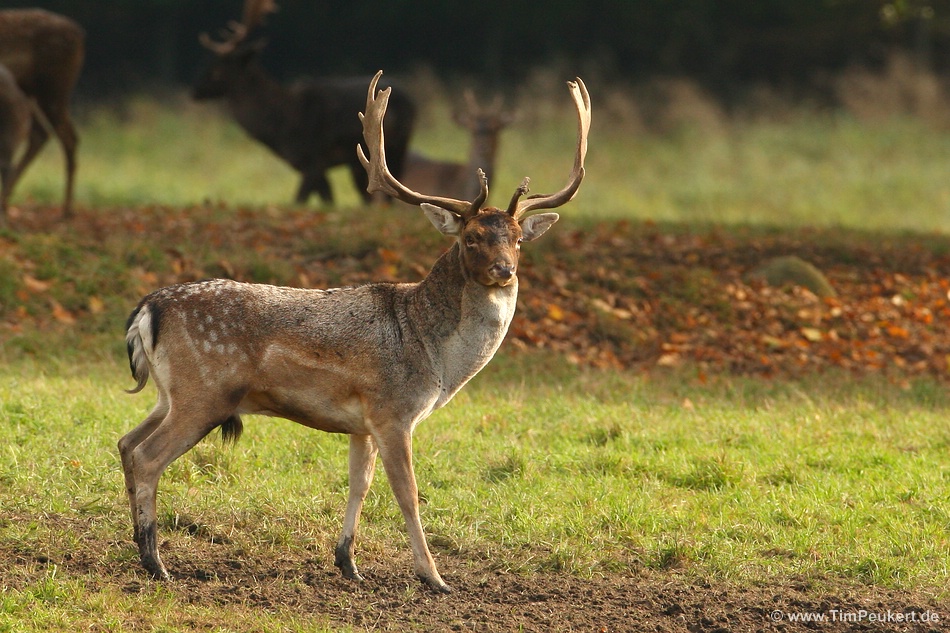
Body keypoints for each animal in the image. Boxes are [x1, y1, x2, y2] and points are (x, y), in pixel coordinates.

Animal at [0, 6, 84, 220]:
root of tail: (80, 34)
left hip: (53, 88)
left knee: (66, 137)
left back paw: (66, 210)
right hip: (31, 92)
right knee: (41, 134)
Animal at [193, 0, 416, 204]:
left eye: (217, 69)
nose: (195, 91)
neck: (280, 127)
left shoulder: (314, 160)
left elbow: (300, 200)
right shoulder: (310, 165)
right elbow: (327, 200)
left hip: (398, 148)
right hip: (361, 165)